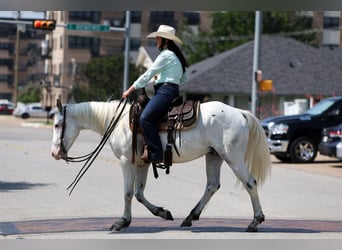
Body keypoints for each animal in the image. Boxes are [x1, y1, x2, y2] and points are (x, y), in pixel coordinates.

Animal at [50, 99, 270, 232]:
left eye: (57, 125)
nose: (54, 153)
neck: (119, 123)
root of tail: (240, 113)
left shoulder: (126, 161)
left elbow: (128, 193)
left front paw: (121, 222)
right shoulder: (142, 164)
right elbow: (139, 193)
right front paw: (163, 213)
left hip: (233, 157)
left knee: (250, 183)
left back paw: (255, 221)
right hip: (214, 156)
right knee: (212, 186)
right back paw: (190, 217)